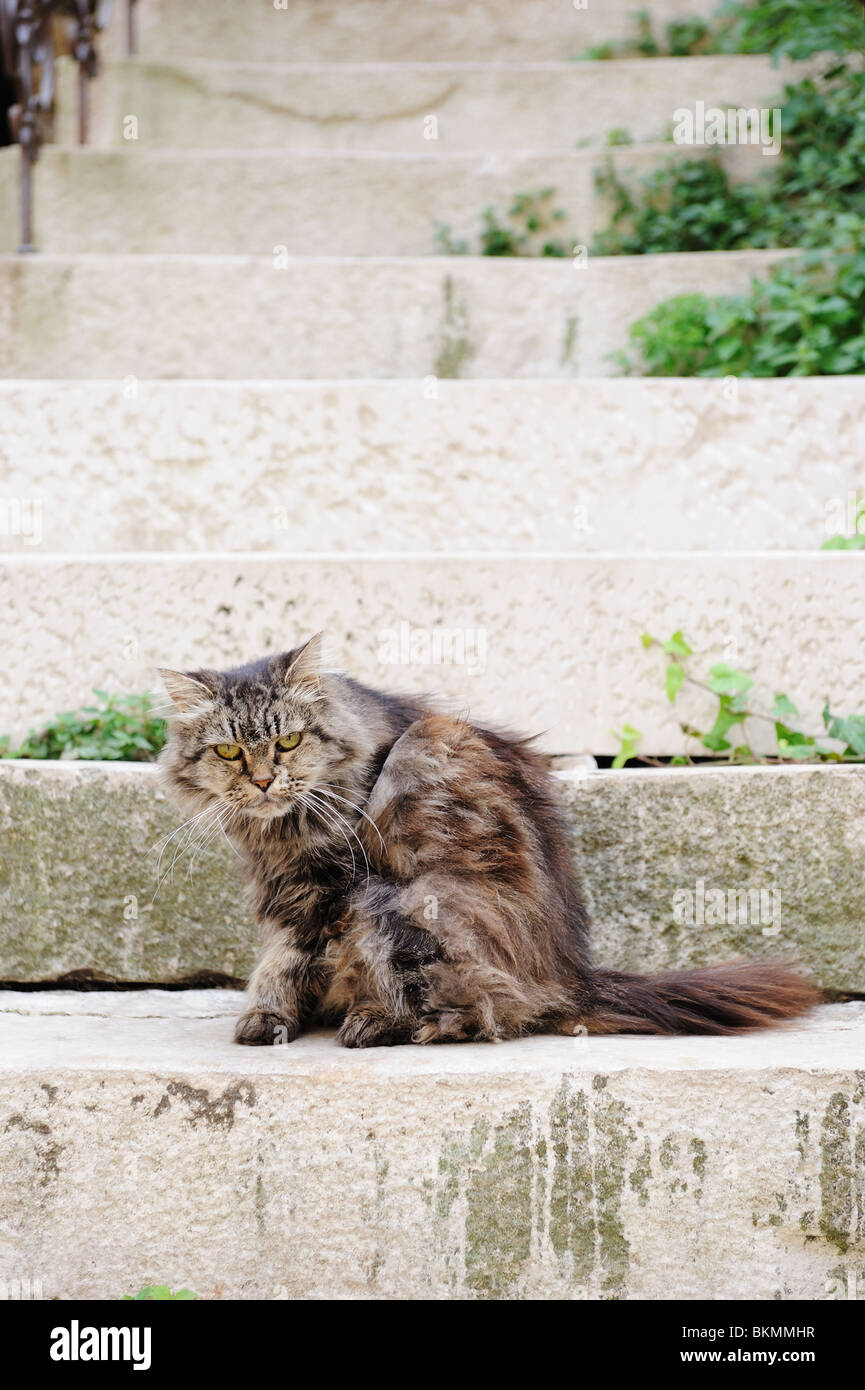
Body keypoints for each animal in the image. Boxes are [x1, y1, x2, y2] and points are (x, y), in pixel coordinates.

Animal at [161, 636, 817, 1045]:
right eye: (229, 751)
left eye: (290, 742)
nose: (264, 780)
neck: (282, 831)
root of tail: (571, 974)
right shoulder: (286, 891)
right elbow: (278, 961)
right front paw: (268, 1016)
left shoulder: (335, 888)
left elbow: (296, 957)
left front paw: (289, 1014)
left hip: (415, 897)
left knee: (488, 1005)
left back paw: (380, 1025)